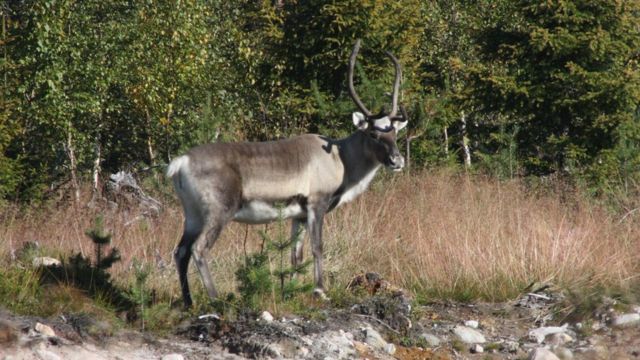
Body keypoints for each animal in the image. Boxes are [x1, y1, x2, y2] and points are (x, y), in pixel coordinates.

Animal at [168, 40, 408, 308]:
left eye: (395, 133)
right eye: (374, 134)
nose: (397, 161)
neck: (341, 159)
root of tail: (180, 162)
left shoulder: (298, 214)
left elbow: (296, 254)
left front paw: (291, 291)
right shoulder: (317, 204)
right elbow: (317, 247)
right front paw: (320, 290)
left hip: (192, 214)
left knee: (180, 251)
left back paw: (188, 302)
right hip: (219, 211)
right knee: (199, 249)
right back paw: (216, 299)